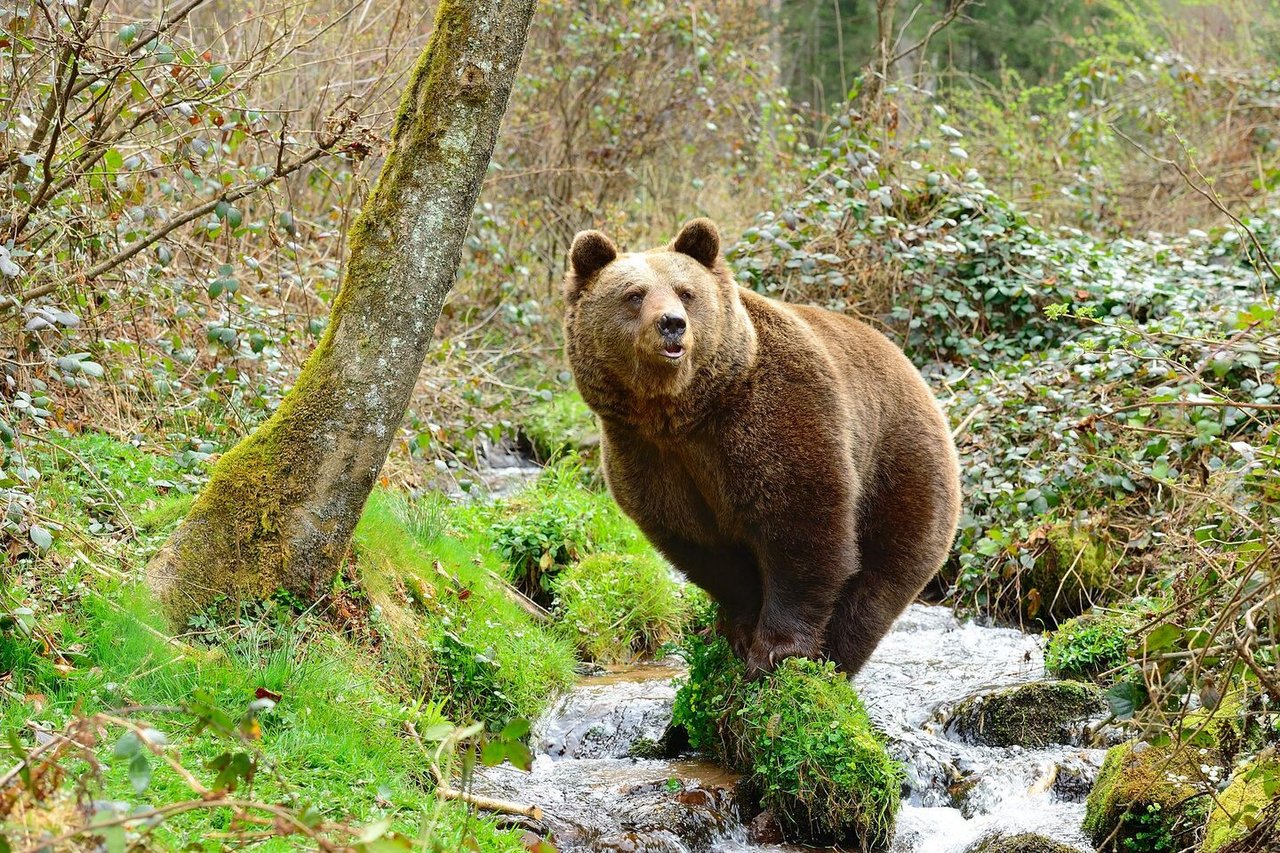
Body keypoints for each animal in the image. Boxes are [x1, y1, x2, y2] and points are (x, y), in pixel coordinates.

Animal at [563, 217, 962, 671]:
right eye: (634, 295)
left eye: (686, 292)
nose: (672, 323)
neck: (683, 412)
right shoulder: (648, 453)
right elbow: (706, 549)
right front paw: (738, 632)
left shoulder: (774, 416)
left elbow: (801, 528)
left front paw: (776, 649)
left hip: (900, 470)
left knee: (878, 582)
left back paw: (836, 657)